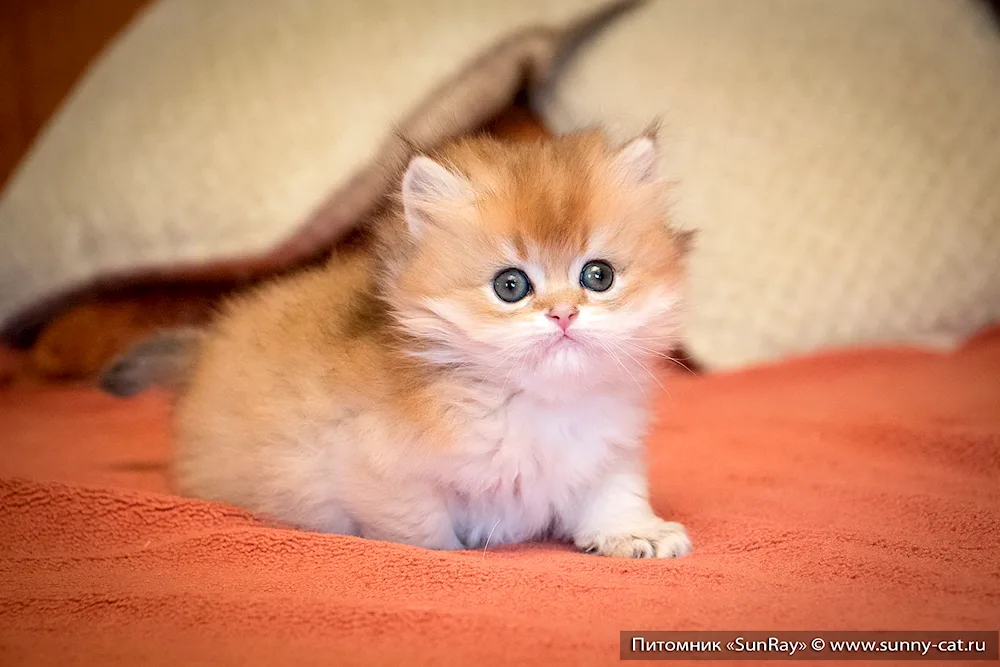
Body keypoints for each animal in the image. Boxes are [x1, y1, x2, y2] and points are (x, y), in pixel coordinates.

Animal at [107, 129, 696, 560]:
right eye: (511, 286)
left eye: (598, 276)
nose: (564, 314)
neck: (536, 403)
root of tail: (204, 348)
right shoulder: (376, 469)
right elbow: (422, 531)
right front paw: (448, 553)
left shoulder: (605, 451)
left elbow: (615, 494)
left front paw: (637, 533)